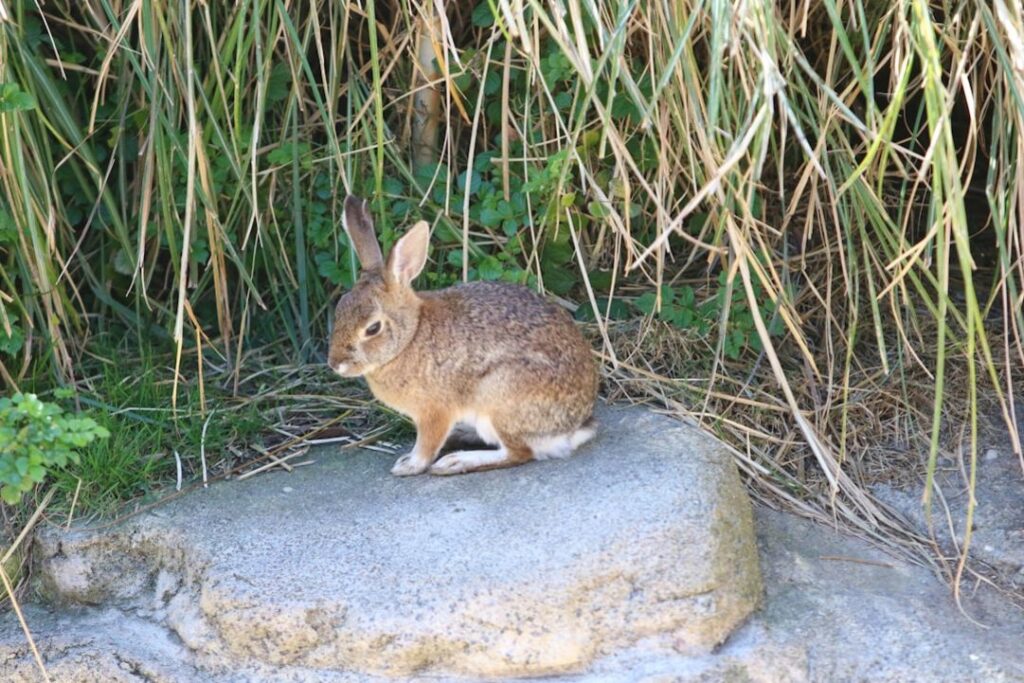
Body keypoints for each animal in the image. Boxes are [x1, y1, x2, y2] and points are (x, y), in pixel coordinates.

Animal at [328, 195, 599, 476]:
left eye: (373, 329)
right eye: (340, 309)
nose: (335, 364)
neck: (410, 336)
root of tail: (575, 427)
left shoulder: (434, 411)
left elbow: (427, 444)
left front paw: (409, 465)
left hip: (498, 397)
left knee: (519, 452)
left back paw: (455, 462)